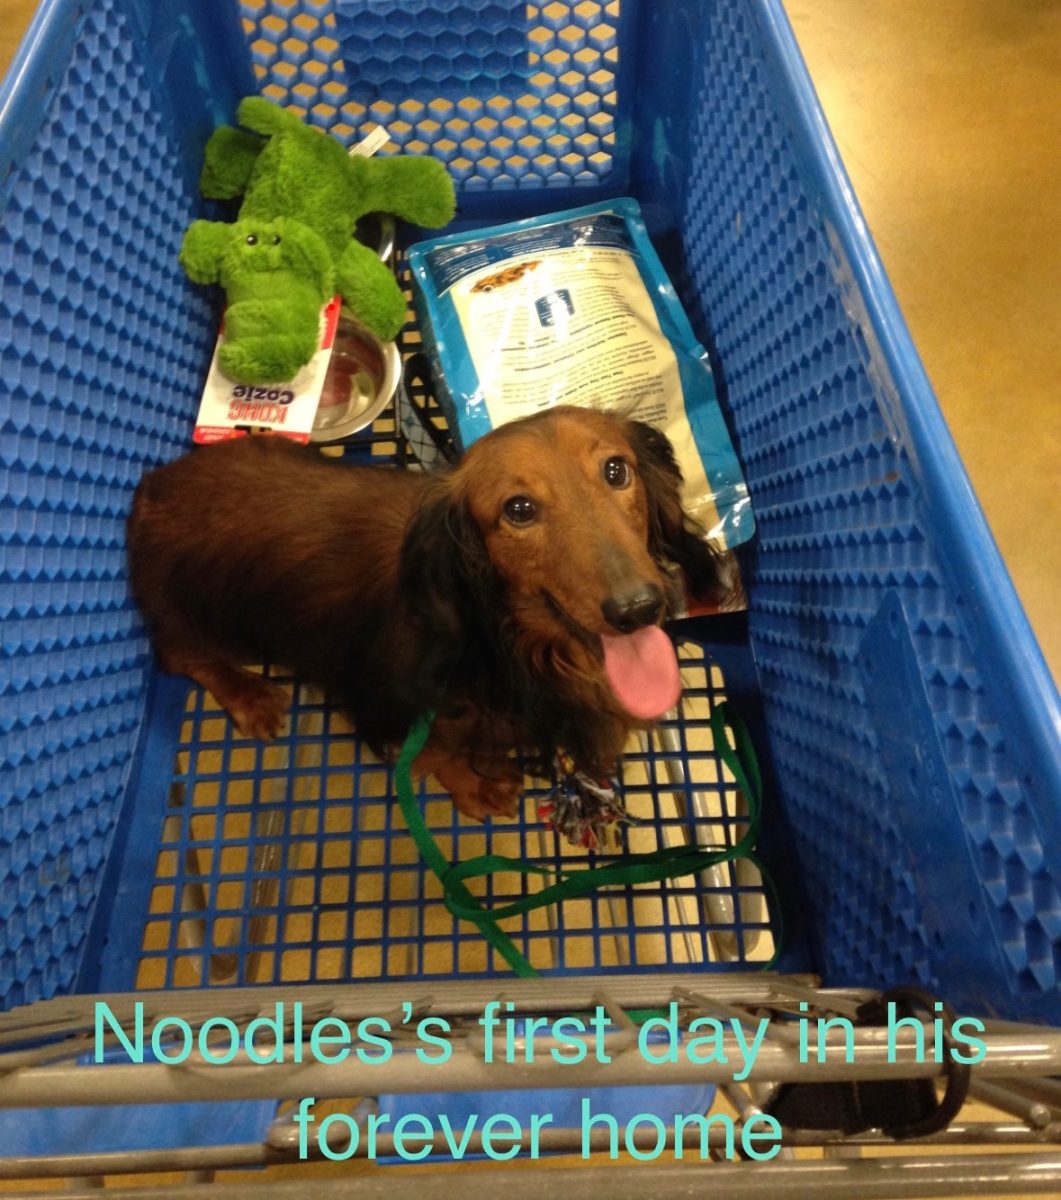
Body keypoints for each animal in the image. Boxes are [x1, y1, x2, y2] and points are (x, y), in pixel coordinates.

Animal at [127, 406, 724, 820]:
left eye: (616, 470)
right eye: (519, 509)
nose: (637, 609)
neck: (510, 642)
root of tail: (150, 488)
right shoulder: (397, 705)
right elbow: (437, 755)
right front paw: (477, 786)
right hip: (194, 612)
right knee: (180, 655)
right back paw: (248, 694)